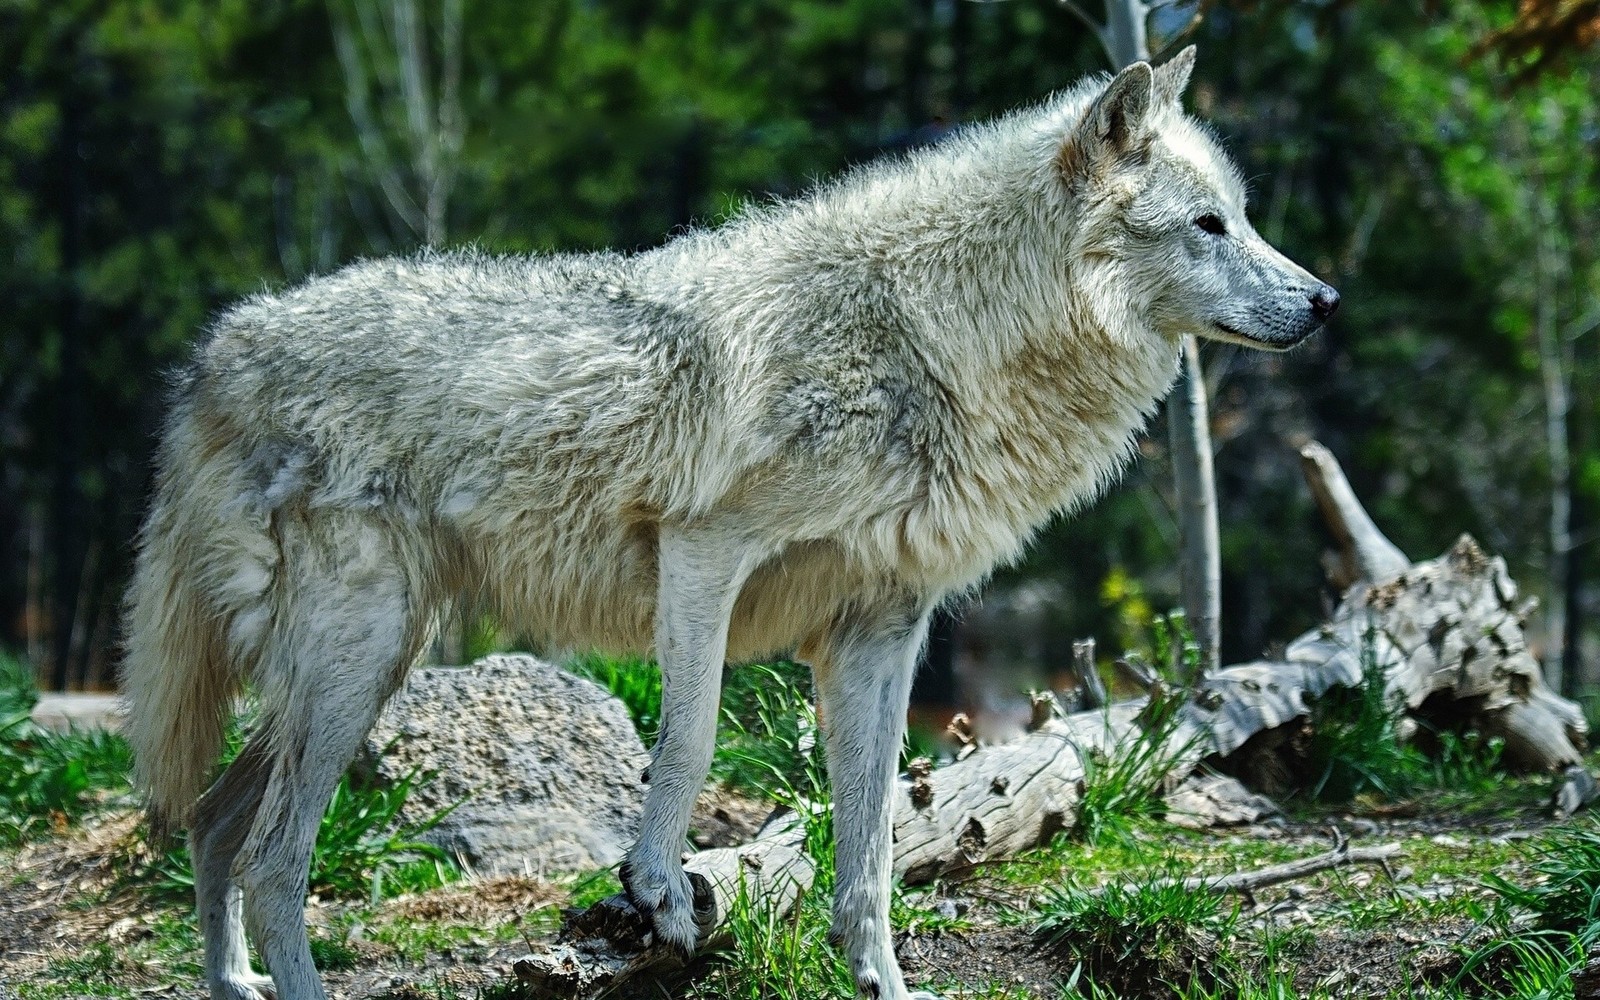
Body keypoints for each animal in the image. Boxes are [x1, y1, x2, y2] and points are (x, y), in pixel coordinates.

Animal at [118, 48, 1331, 998]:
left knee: (215, 823)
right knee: (274, 860)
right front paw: (655, 887)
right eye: (1209, 224)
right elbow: (691, 738)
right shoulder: (703, 554)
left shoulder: (881, 632)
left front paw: (881, 979)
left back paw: (234, 982)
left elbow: (874, 836)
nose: (1323, 301)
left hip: (363, 668)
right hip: (357, 661)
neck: (935, 331)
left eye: (1246, 217)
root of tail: (217, 350)